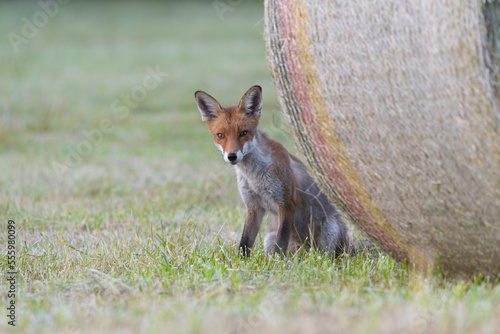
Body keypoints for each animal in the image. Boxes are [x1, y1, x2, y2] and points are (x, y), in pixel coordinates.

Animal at [193, 85, 350, 256]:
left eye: (243, 133)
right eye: (220, 135)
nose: (232, 156)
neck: (254, 176)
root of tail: (303, 249)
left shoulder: (286, 203)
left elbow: (281, 243)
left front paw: (277, 262)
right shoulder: (253, 207)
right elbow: (245, 243)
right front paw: (241, 261)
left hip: (330, 229)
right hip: (269, 238)